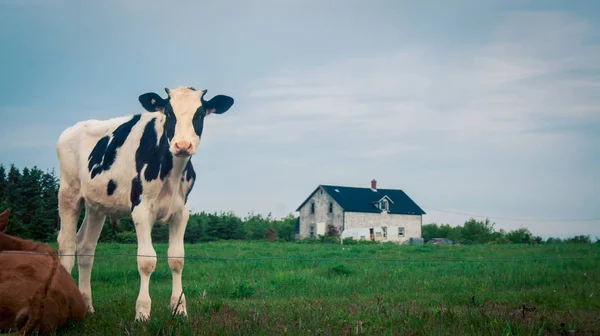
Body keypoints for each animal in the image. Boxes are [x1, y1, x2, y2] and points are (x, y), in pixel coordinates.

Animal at [55, 86, 234, 320]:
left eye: (200, 114)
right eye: (169, 113)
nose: (182, 145)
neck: (172, 172)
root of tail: (72, 129)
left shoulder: (181, 212)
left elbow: (177, 259)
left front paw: (179, 308)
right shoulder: (141, 209)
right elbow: (147, 260)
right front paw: (142, 313)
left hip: (96, 205)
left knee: (86, 248)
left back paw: (87, 306)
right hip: (69, 192)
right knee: (66, 247)